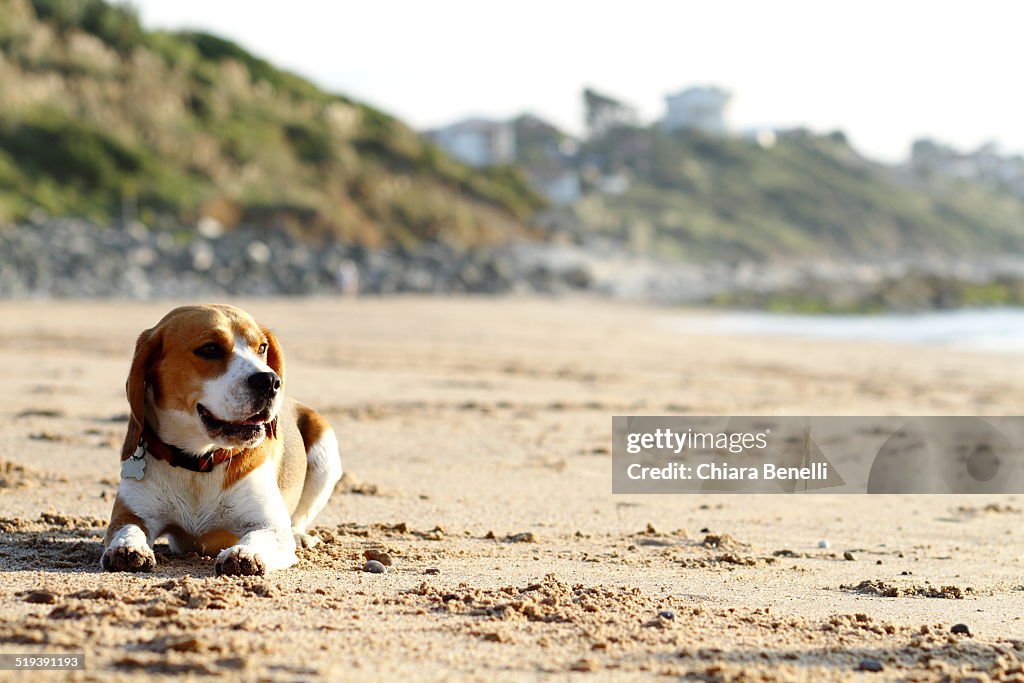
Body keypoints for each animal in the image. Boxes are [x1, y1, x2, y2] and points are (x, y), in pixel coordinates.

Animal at [103, 301, 344, 573]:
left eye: (262, 348)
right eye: (210, 349)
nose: (270, 380)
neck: (198, 464)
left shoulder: (269, 525)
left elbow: (259, 536)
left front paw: (244, 553)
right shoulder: (130, 513)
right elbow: (128, 528)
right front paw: (127, 547)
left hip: (325, 452)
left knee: (299, 517)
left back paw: (300, 536)